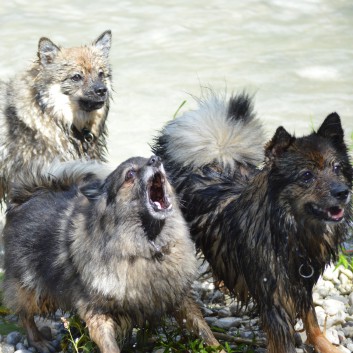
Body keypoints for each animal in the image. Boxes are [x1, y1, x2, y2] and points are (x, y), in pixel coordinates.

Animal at [2, 155, 221, 350]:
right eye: (130, 174)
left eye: (148, 159)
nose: (156, 159)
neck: (146, 246)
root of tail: (27, 197)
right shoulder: (97, 311)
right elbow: (109, 344)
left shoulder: (177, 296)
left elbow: (203, 329)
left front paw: (218, 347)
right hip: (35, 291)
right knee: (25, 314)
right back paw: (38, 340)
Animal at [152, 93, 352, 352]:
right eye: (307, 176)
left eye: (337, 168)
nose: (343, 192)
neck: (289, 232)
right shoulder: (275, 297)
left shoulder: (301, 282)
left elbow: (311, 318)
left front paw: (326, 345)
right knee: (186, 307)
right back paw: (211, 340)